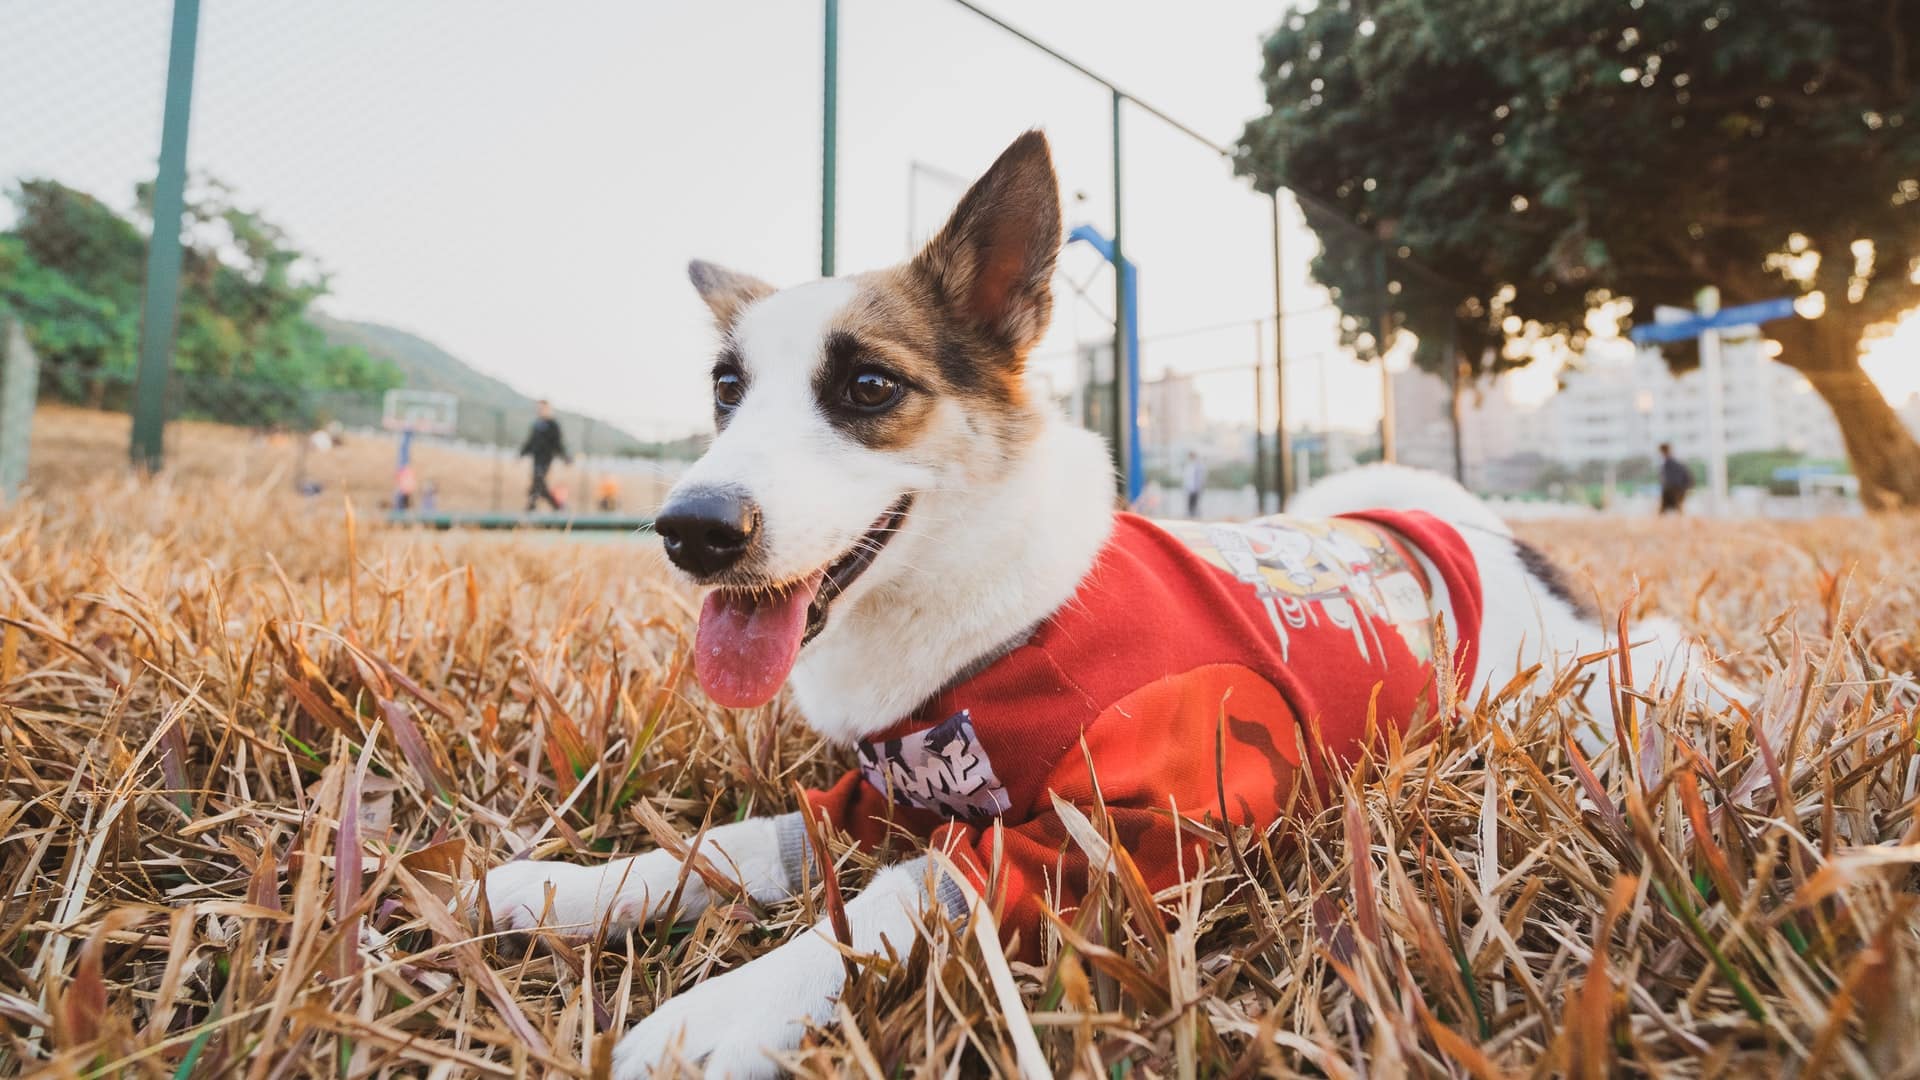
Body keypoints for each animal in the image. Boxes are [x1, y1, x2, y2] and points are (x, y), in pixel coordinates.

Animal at [480, 130, 1728, 1068]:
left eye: (869, 386)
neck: (988, 612)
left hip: (1574, 692)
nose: (691, 530)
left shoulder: (1126, 828)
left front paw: (711, 1017)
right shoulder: (880, 795)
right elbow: (749, 843)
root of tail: (1466, 533)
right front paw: (573, 889)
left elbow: (895, 902)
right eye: (725, 389)